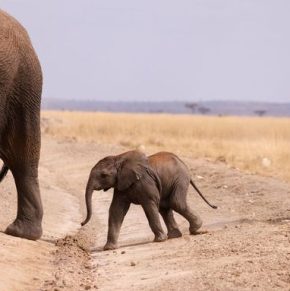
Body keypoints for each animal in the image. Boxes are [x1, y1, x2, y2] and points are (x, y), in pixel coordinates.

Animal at [80, 151, 216, 251]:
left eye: (103, 175)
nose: (81, 223)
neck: (118, 158)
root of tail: (183, 163)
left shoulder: (144, 182)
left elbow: (149, 205)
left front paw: (160, 240)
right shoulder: (121, 184)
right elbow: (116, 210)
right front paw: (109, 248)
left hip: (180, 179)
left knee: (176, 202)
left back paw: (196, 230)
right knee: (165, 207)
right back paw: (174, 236)